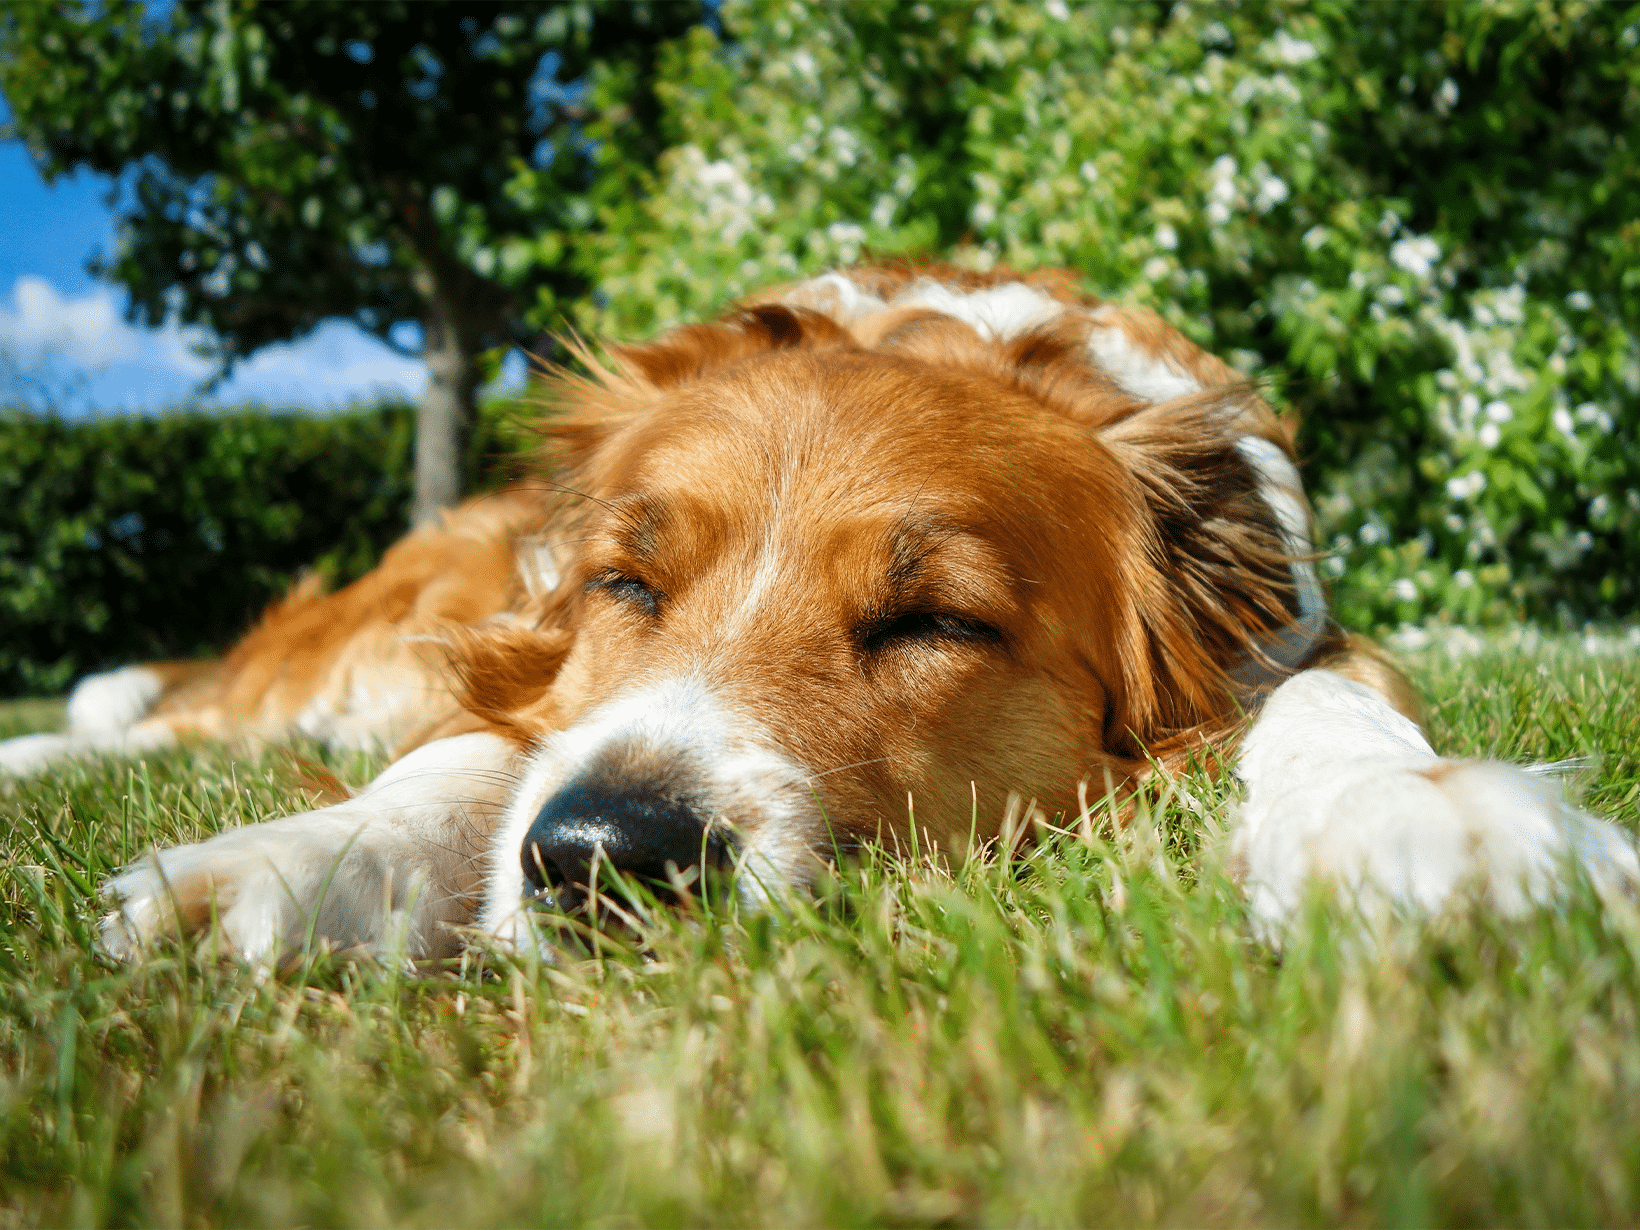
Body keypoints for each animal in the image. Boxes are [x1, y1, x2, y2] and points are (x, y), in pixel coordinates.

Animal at [6, 265, 1633, 957]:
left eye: (934, 623)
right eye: (628, 585)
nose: (606, 858)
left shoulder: (1303, 636)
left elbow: (1323, 699)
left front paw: (1406, 824)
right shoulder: (530, 666)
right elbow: (474, 751)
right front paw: (306, 857)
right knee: (179, 713)